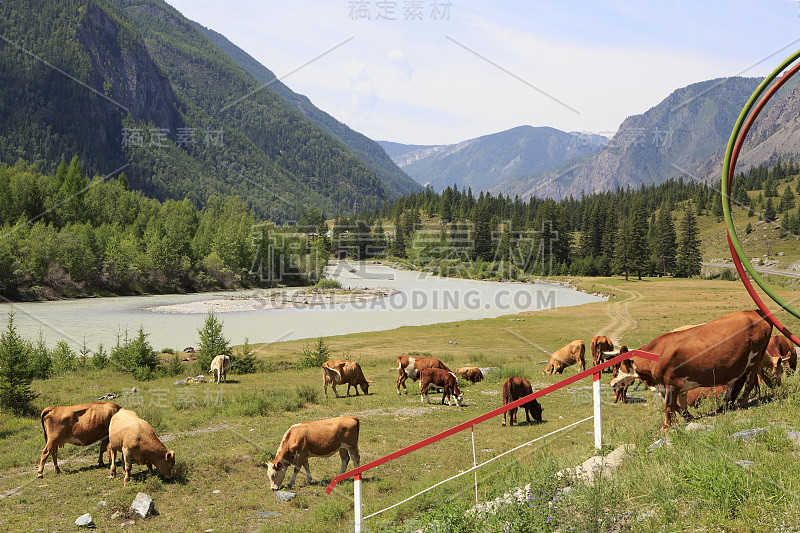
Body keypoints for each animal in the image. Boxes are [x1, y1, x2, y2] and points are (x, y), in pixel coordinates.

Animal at [608, 310, 772, 430]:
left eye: (616, 369)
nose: (611, 384)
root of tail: (755, 313)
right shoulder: (677, 385)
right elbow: (679, 404)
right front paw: (688, 417)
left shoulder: (672, 383)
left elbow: (669, 407)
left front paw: (665, 428)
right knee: (735, 385)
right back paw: (725, 406)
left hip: (755, 358)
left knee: (749, 382)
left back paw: (739, 404)